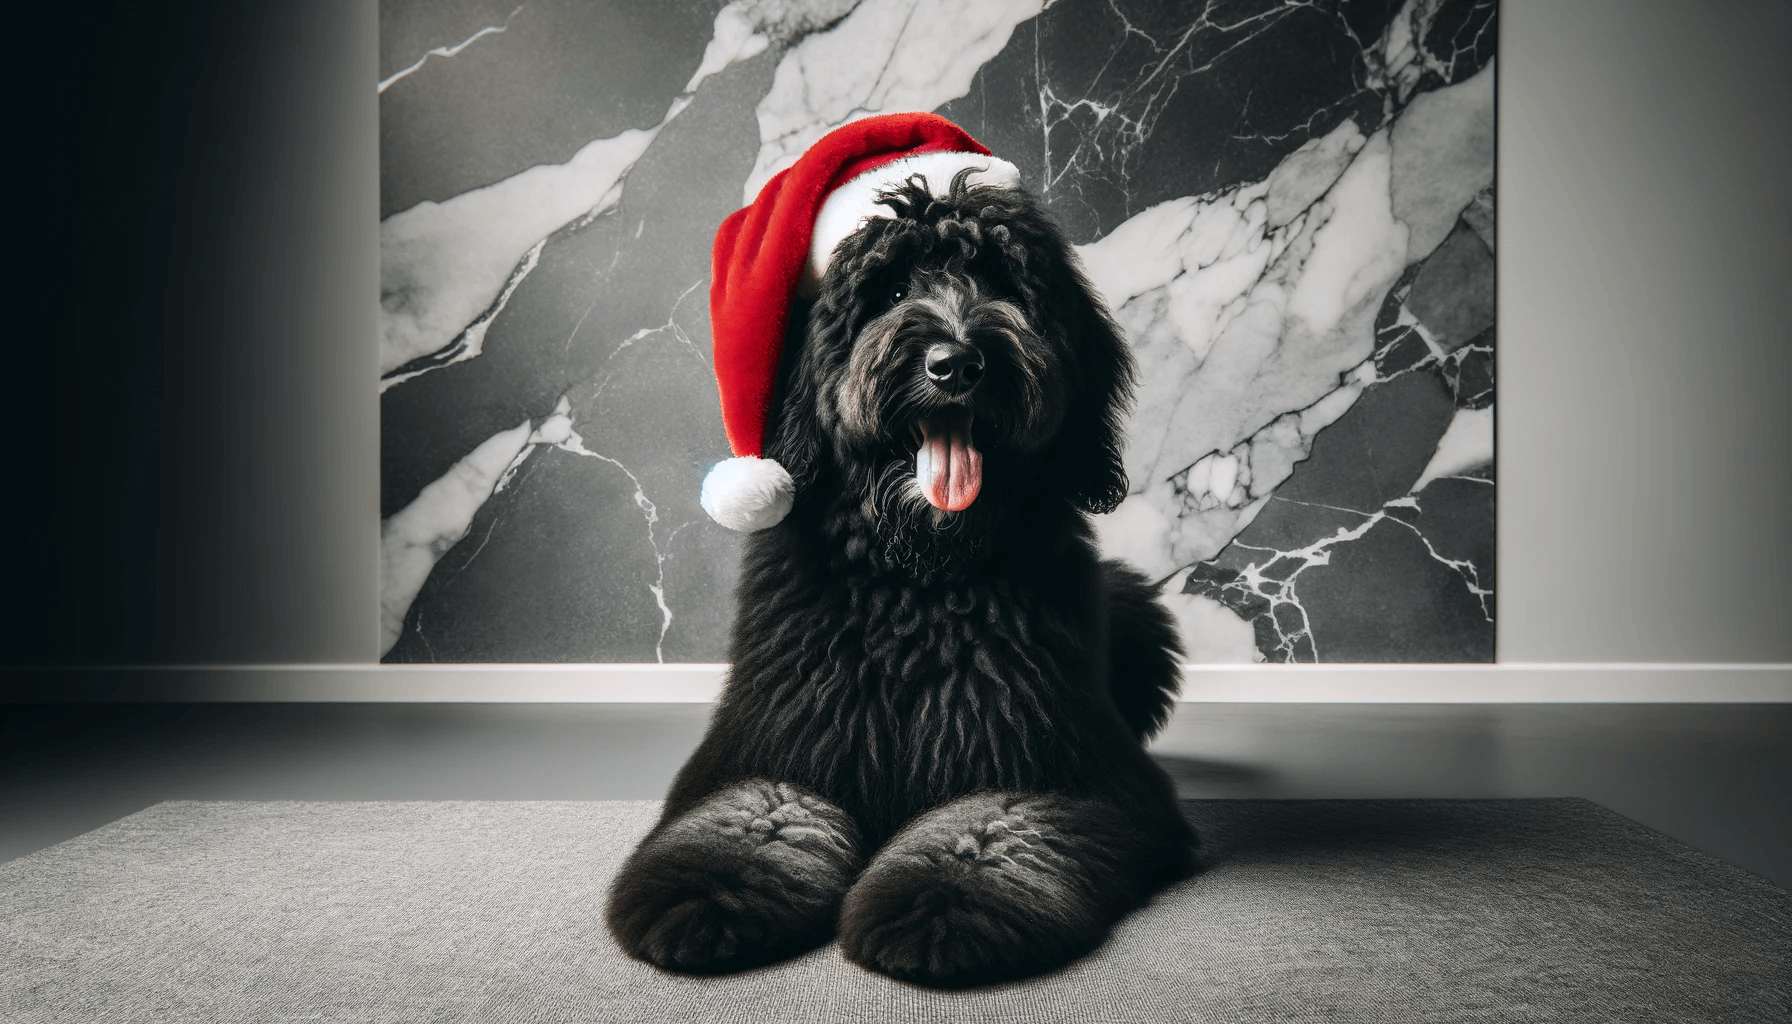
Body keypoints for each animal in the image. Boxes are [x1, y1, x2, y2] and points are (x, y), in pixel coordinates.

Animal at [609, 172, 1197, 989]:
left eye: (1000, 280)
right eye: (887, 290)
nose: (956, 364)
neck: (920, 579)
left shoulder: (1055, 764)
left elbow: (989, 829)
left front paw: (941, 906)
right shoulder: (780, 745)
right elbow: (756, 813)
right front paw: (708, 892)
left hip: (1138, 613)